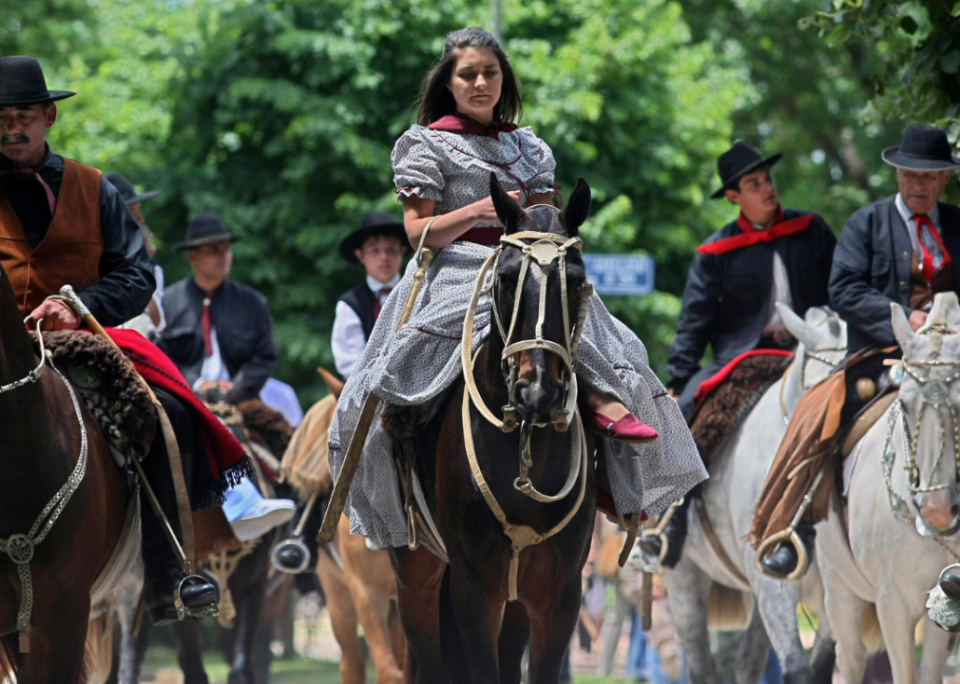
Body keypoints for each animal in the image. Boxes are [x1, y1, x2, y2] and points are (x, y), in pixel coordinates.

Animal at [386, 175, 596, 684]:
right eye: (504, 278)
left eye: (576, 281)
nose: (537, 392)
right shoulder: (474, 589)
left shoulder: (559, 595)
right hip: (416, 577)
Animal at [812, 292, 960, 680]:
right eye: (904, 405)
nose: (937, 511)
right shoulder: (893, 602)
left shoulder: (944, 602)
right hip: (839, 587)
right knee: (850, 656)